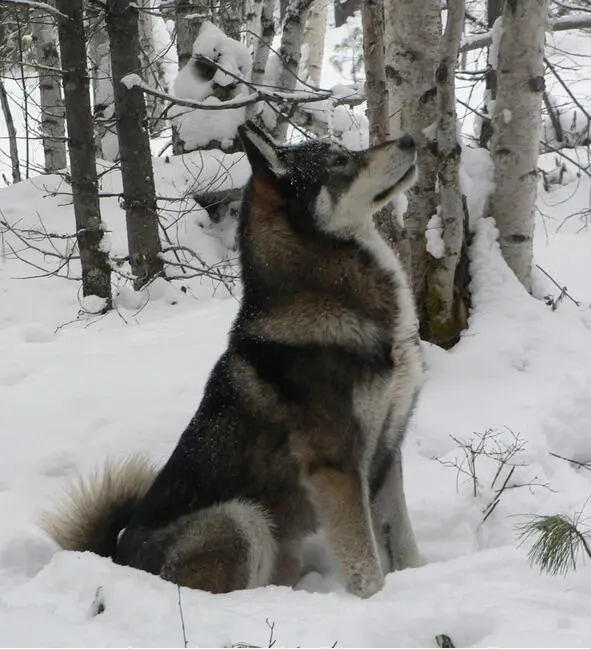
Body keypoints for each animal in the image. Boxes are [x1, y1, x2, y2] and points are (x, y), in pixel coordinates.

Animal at [41, 121, 424, 596]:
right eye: (339, 161)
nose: (410, 139)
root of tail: (116, 557)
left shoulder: (388, 450)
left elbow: (403, 542)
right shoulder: (337, 466)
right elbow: (365, 564)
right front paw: (376, 599)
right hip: (242, 518)